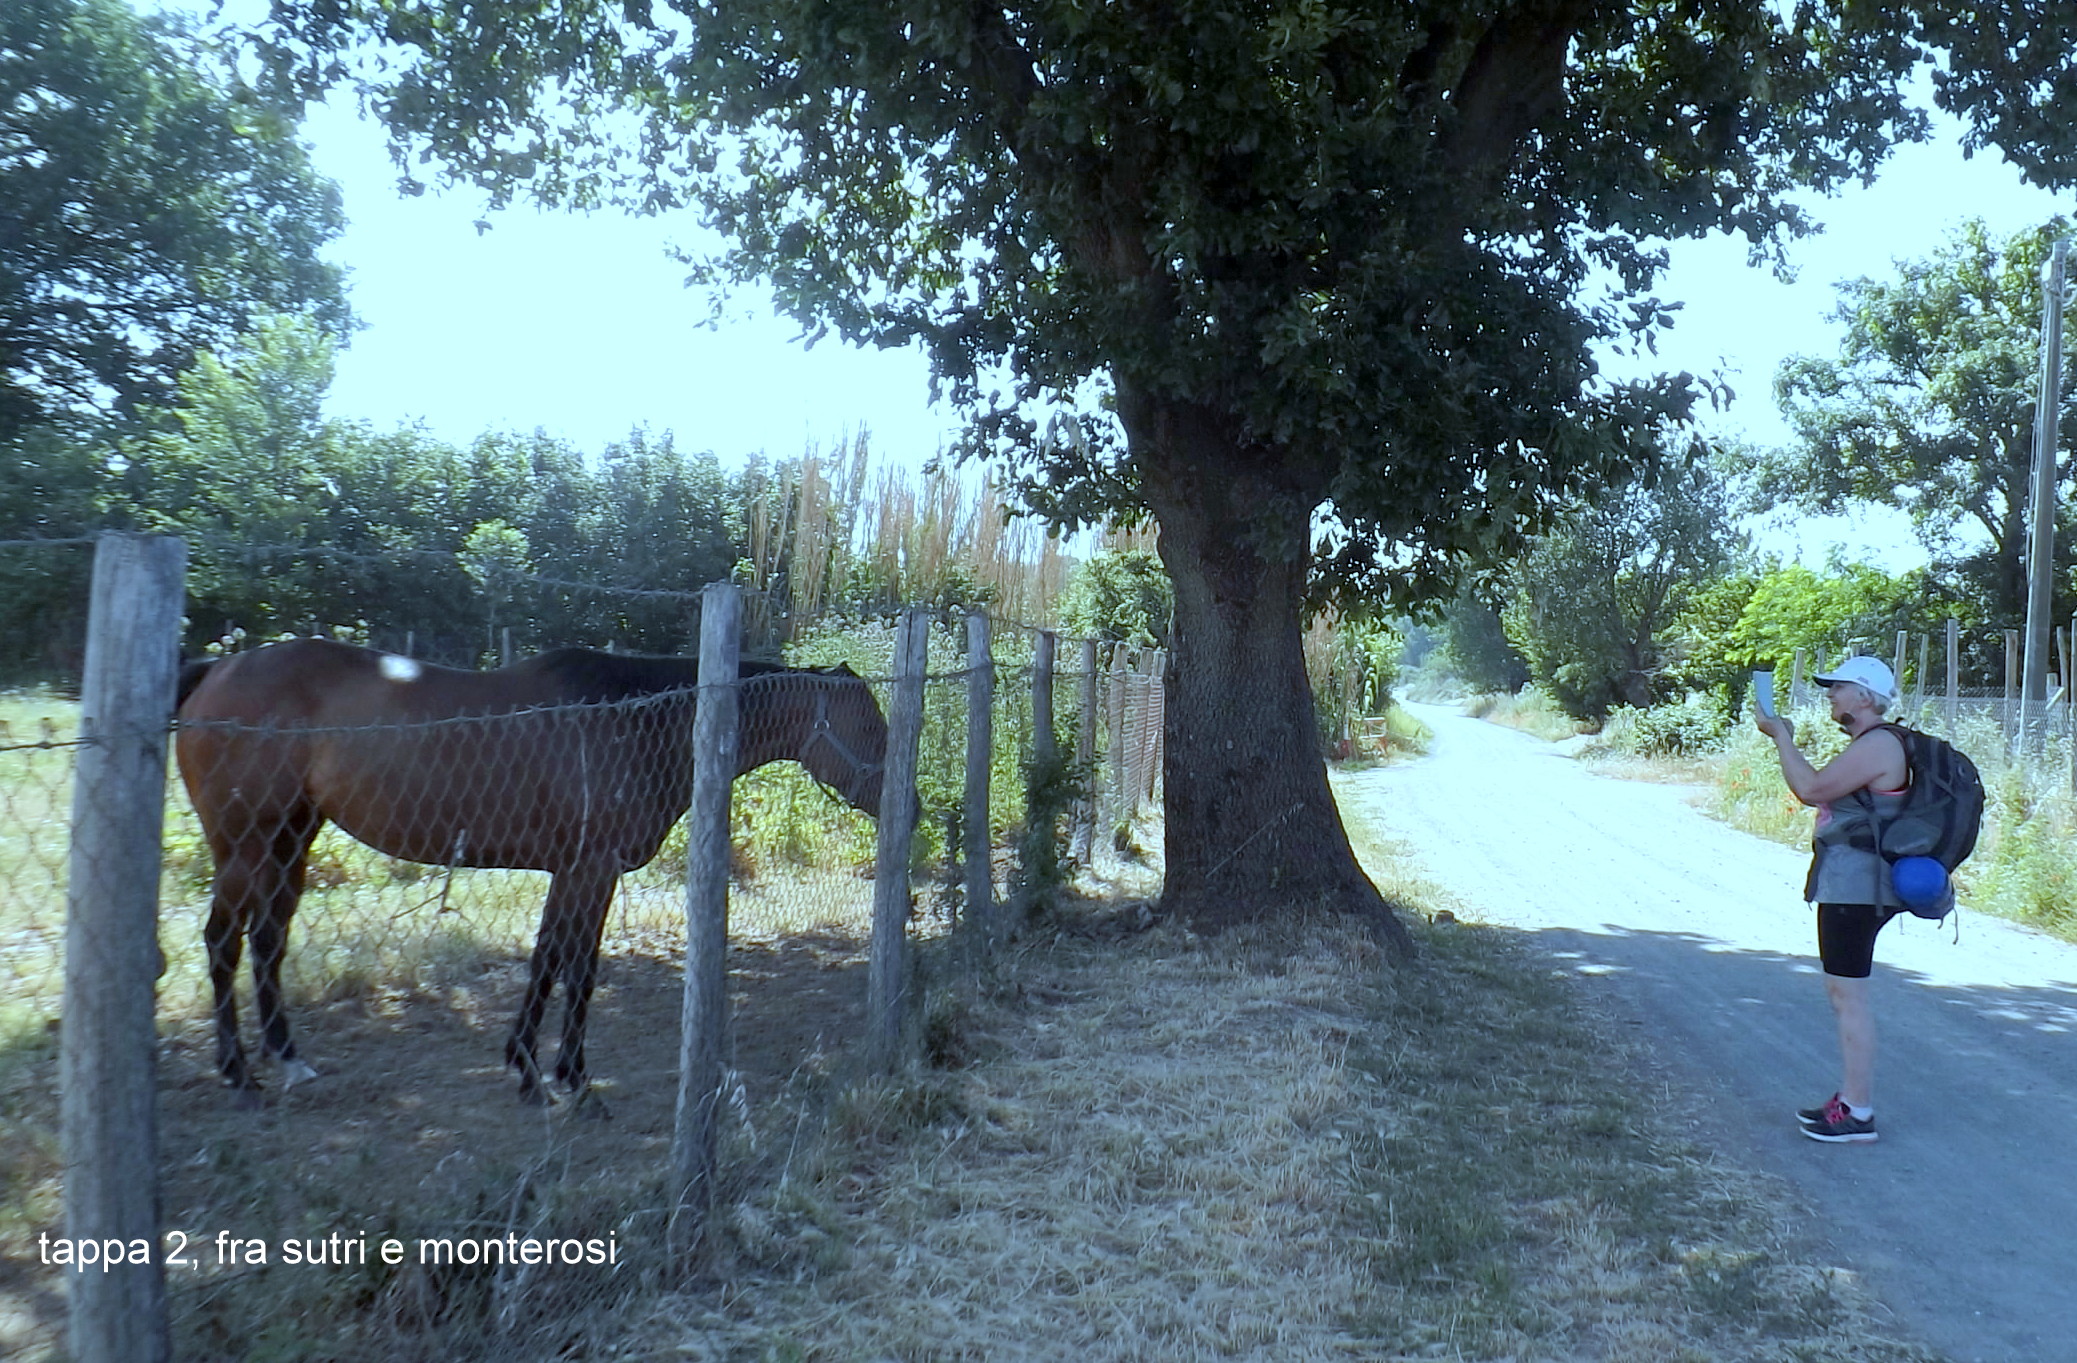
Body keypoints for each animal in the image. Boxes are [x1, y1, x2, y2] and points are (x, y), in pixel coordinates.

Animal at [174, 639, 888, 1105]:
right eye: (871, 730)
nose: (896, 795)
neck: (636, 721)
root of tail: (219, 669)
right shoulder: (589, 871)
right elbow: (572, 966)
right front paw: (559, 1074)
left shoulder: (576, 873)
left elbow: (556, 960)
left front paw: (537, 1067)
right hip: (245, 845)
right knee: (224, 941)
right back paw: (238, 1071)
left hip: (289, 840)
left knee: (267, 941)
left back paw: (287, 1058)